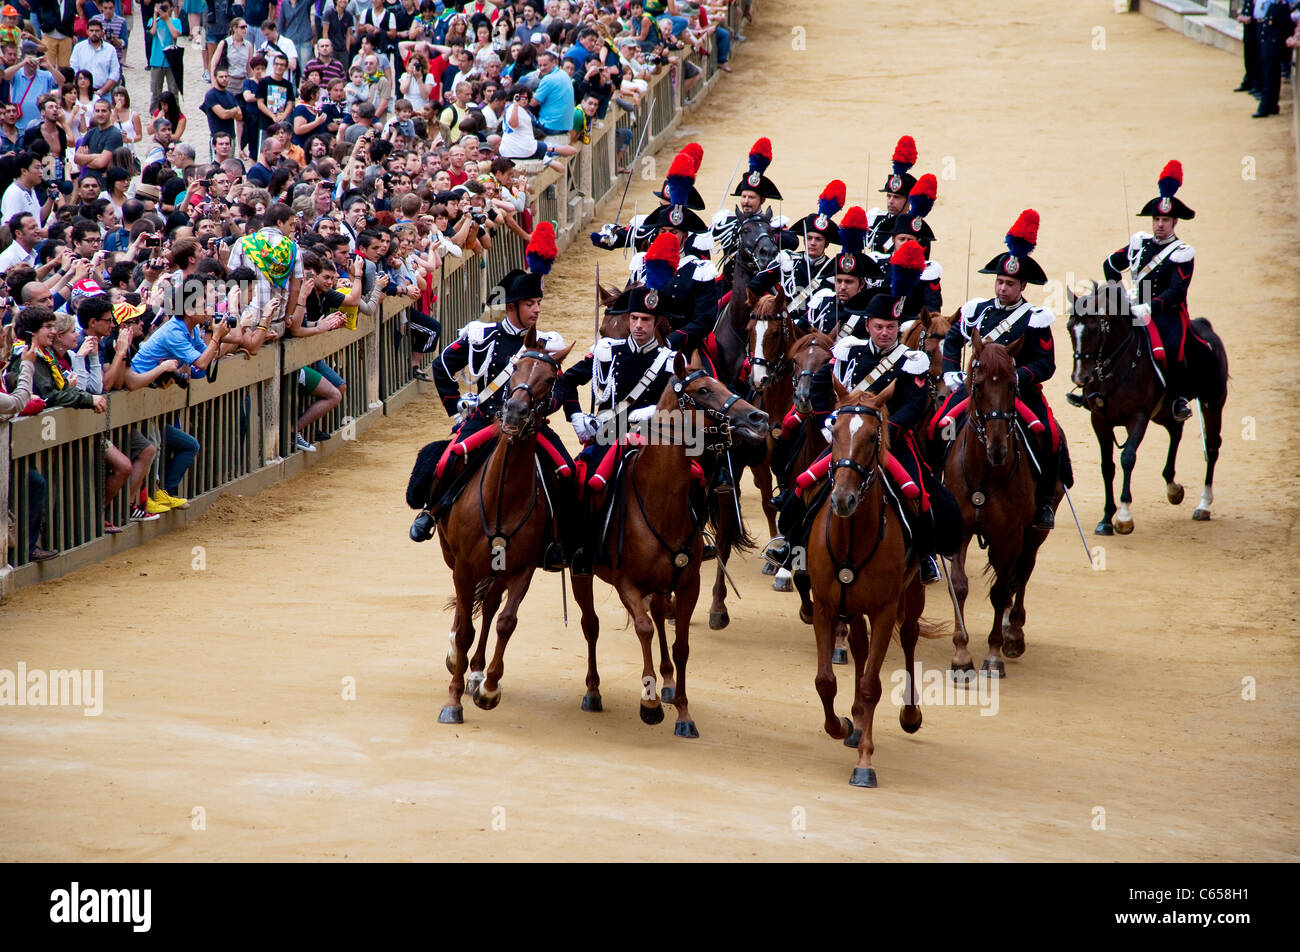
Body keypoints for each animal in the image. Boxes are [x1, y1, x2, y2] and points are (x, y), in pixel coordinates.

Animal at [436, 330, 574, 723]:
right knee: (464, 614)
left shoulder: (521, 569)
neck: (502, 497)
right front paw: (453, 699)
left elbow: (505, 621)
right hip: (456, 561)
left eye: (551, 380)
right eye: (515, 368)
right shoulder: (464, 566)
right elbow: (465, 628)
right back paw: (456, 659)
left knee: (490, 606)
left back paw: (476, 671)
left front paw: (489, 687)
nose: (513, 411)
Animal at [572, 356, 769, 738]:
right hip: (582, 573)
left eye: (724, 384)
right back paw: (593, 690)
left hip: (663, 584)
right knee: (592, 625)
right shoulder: (626, 583)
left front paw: (682, 710)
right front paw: (648, 705)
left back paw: (665, 682)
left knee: (661, 618)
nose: (758, 417)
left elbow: (680, 645)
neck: (658, 499)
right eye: (703, 390)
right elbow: (644, 628)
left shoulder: (688, 583)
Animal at [806, 379, 930, 790]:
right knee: (859, 648)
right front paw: (842, 725)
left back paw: (909, 714)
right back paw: (857, 722)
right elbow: (825, 680)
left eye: (872, 437)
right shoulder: (825, 606)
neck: (852, 539)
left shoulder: (884, 610)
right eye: (835, 432)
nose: (843, 499)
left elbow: (871, 684)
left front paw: (865, 763)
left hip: (912, 591)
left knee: (908, 637)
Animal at [946, 330, 1055, 681]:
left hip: (1033, 534)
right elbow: (960, 586)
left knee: (1022, 573)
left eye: (1012, 385)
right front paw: (961, 653)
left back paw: (1014, 632)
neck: (986, 472)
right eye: (978, 384)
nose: (997, 449)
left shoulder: (1010, 537)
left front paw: (993, 655)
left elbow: (999, 592)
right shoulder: (960, 531)